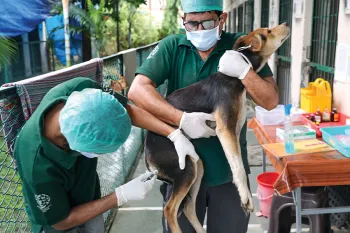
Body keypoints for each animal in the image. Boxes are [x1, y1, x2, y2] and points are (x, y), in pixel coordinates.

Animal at [144, 22, 288, 233]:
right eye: (268, 32)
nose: (286, 24)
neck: (233, 78)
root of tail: (147, 151)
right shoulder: (225, 129)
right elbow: (238, 167)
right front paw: (246, 198)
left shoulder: (233, 132)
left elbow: (237, 165)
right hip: (185, 168)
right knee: (170, 209)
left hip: (197, 165)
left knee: (187, 206)